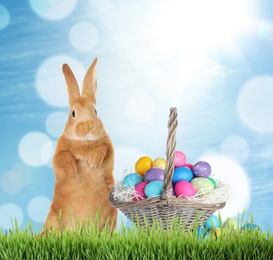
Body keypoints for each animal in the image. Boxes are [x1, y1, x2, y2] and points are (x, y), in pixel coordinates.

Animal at [43, 58, 117, 233]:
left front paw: (93, 160)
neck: (84, 142)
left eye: (95, 111)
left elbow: (104, 149)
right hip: (53, 218)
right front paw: (72, 170)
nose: (88, 126)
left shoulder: (109, 149)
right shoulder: (59, 153)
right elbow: (61, 157)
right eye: (73, 113)